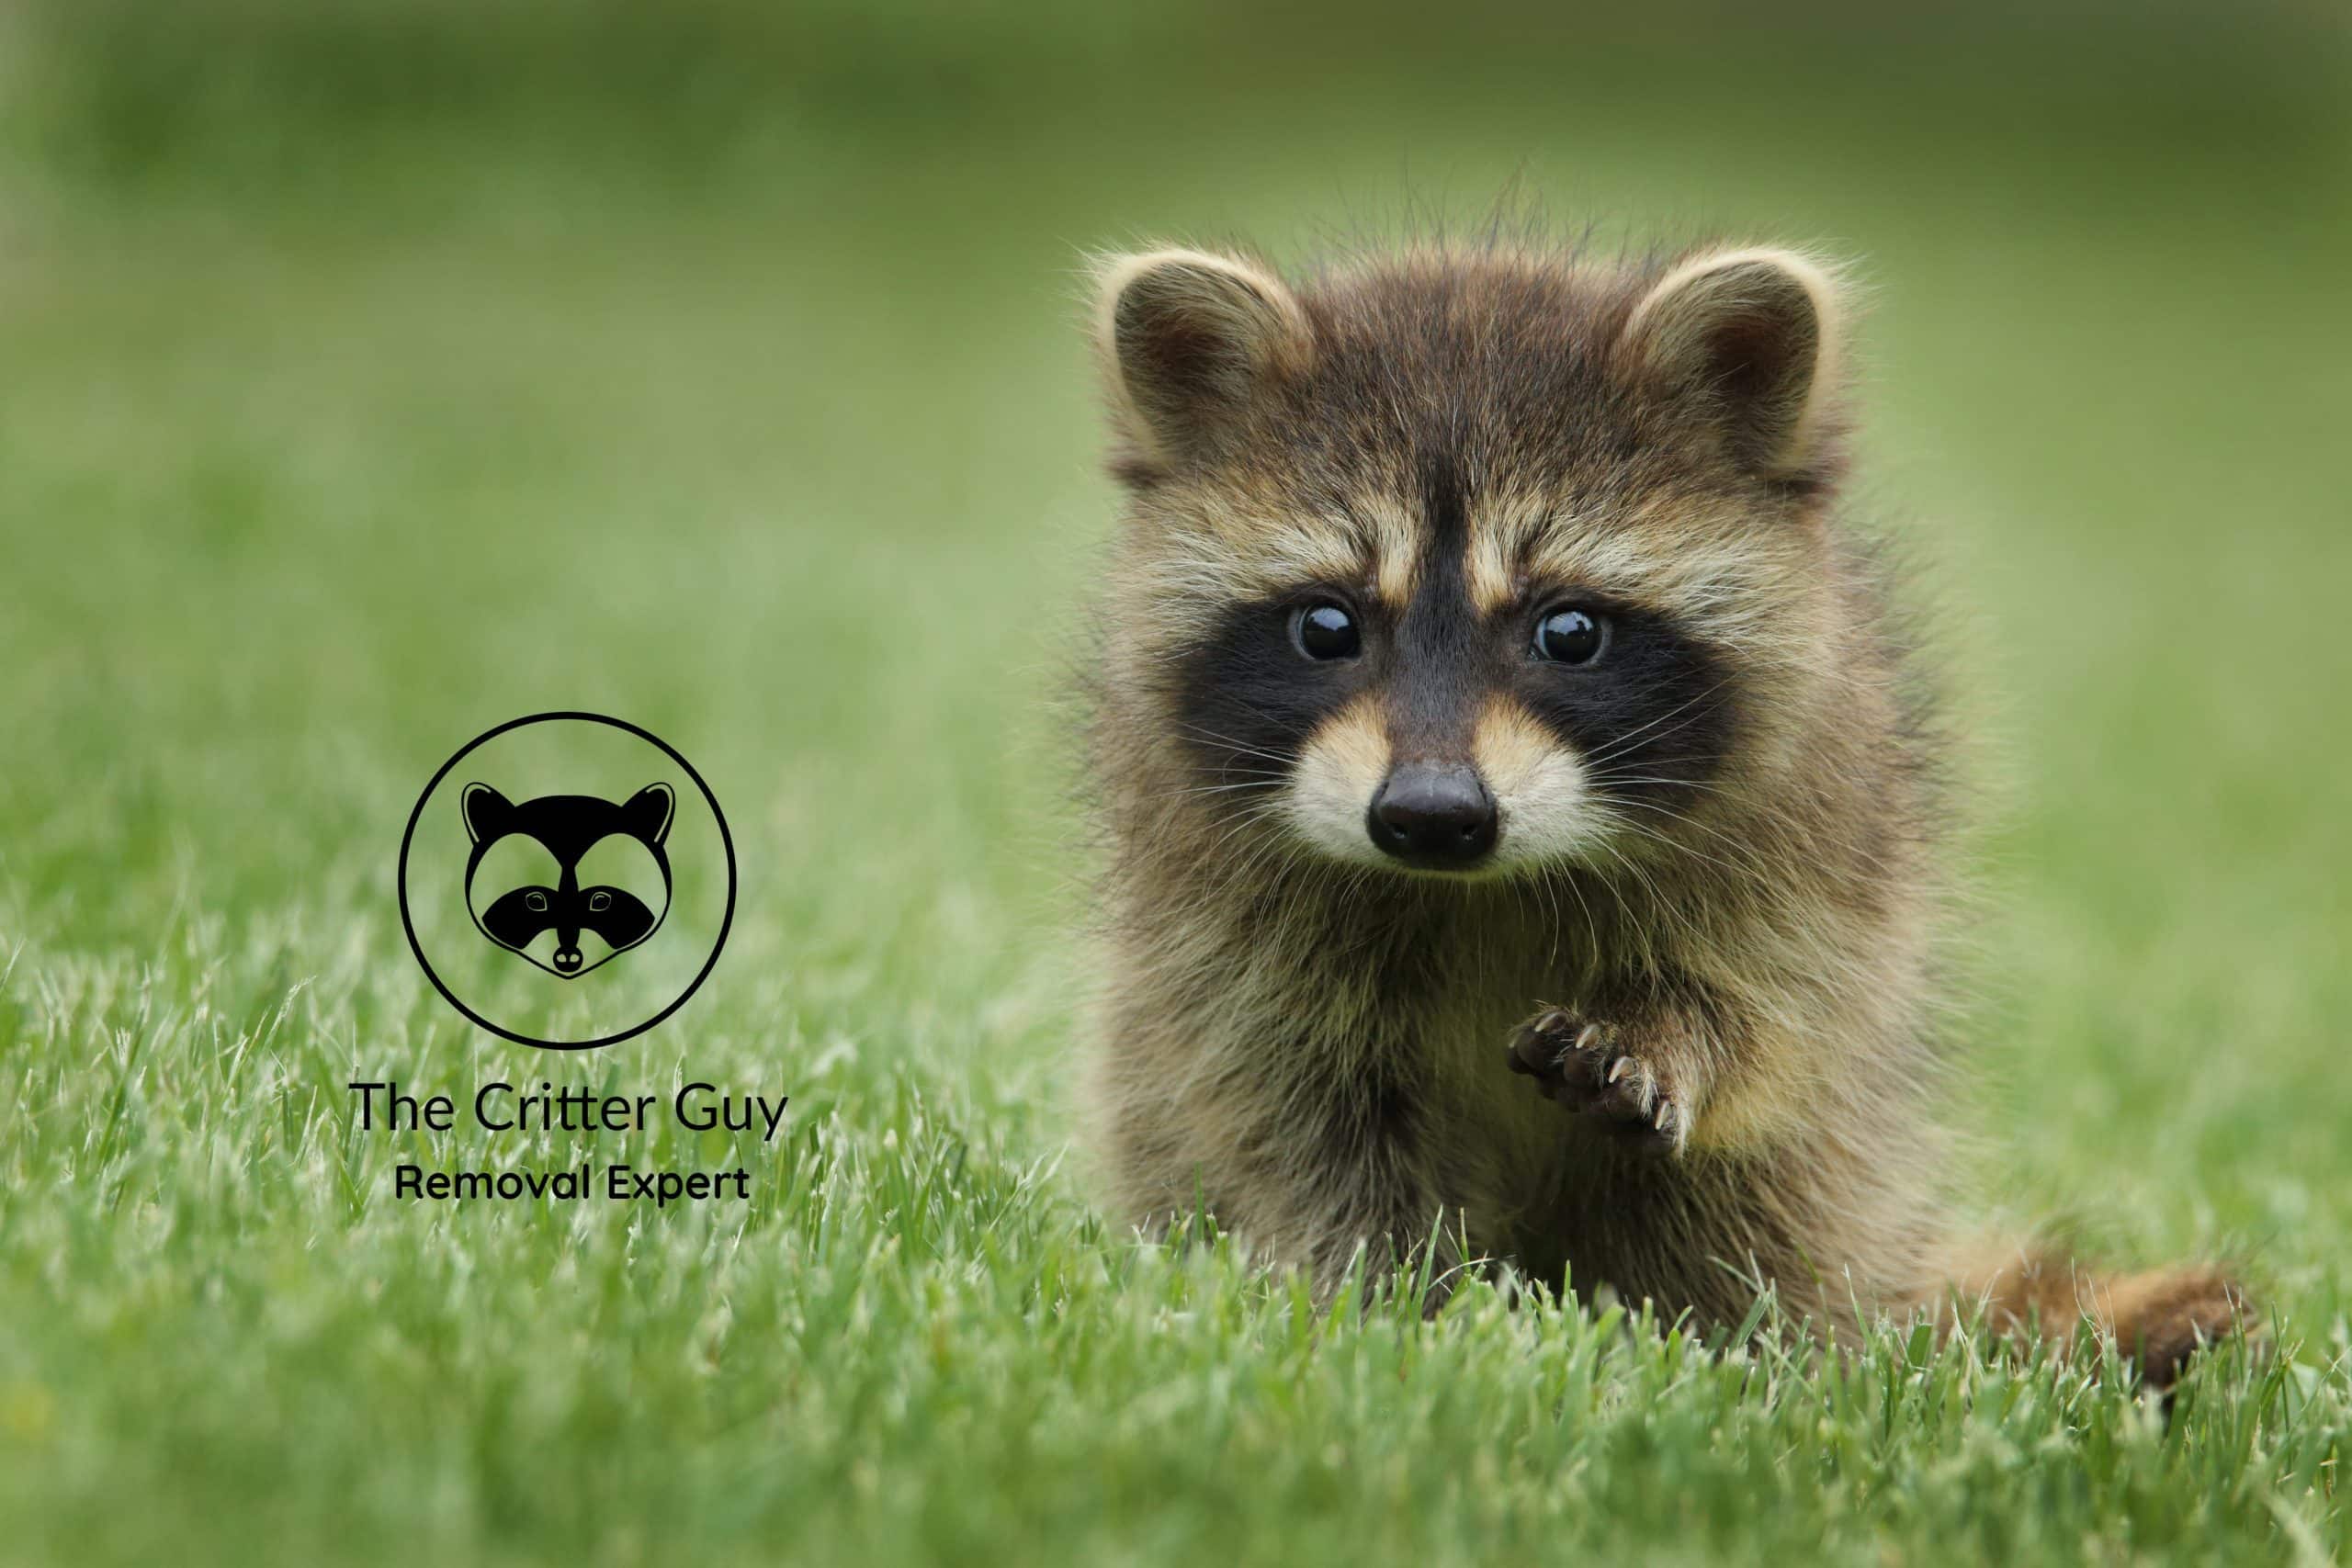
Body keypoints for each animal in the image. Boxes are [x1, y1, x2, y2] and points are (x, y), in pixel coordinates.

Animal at [1076, 236, 2246, 1383]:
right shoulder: (1220, 921)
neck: (1478, 887)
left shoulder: (1818, 831)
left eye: (1569, 632)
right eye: (1326, 626)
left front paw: (1673, 1035)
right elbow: (1291, 1114)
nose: (1432, 815)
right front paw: (1390, 1307)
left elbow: (1771, 1010)